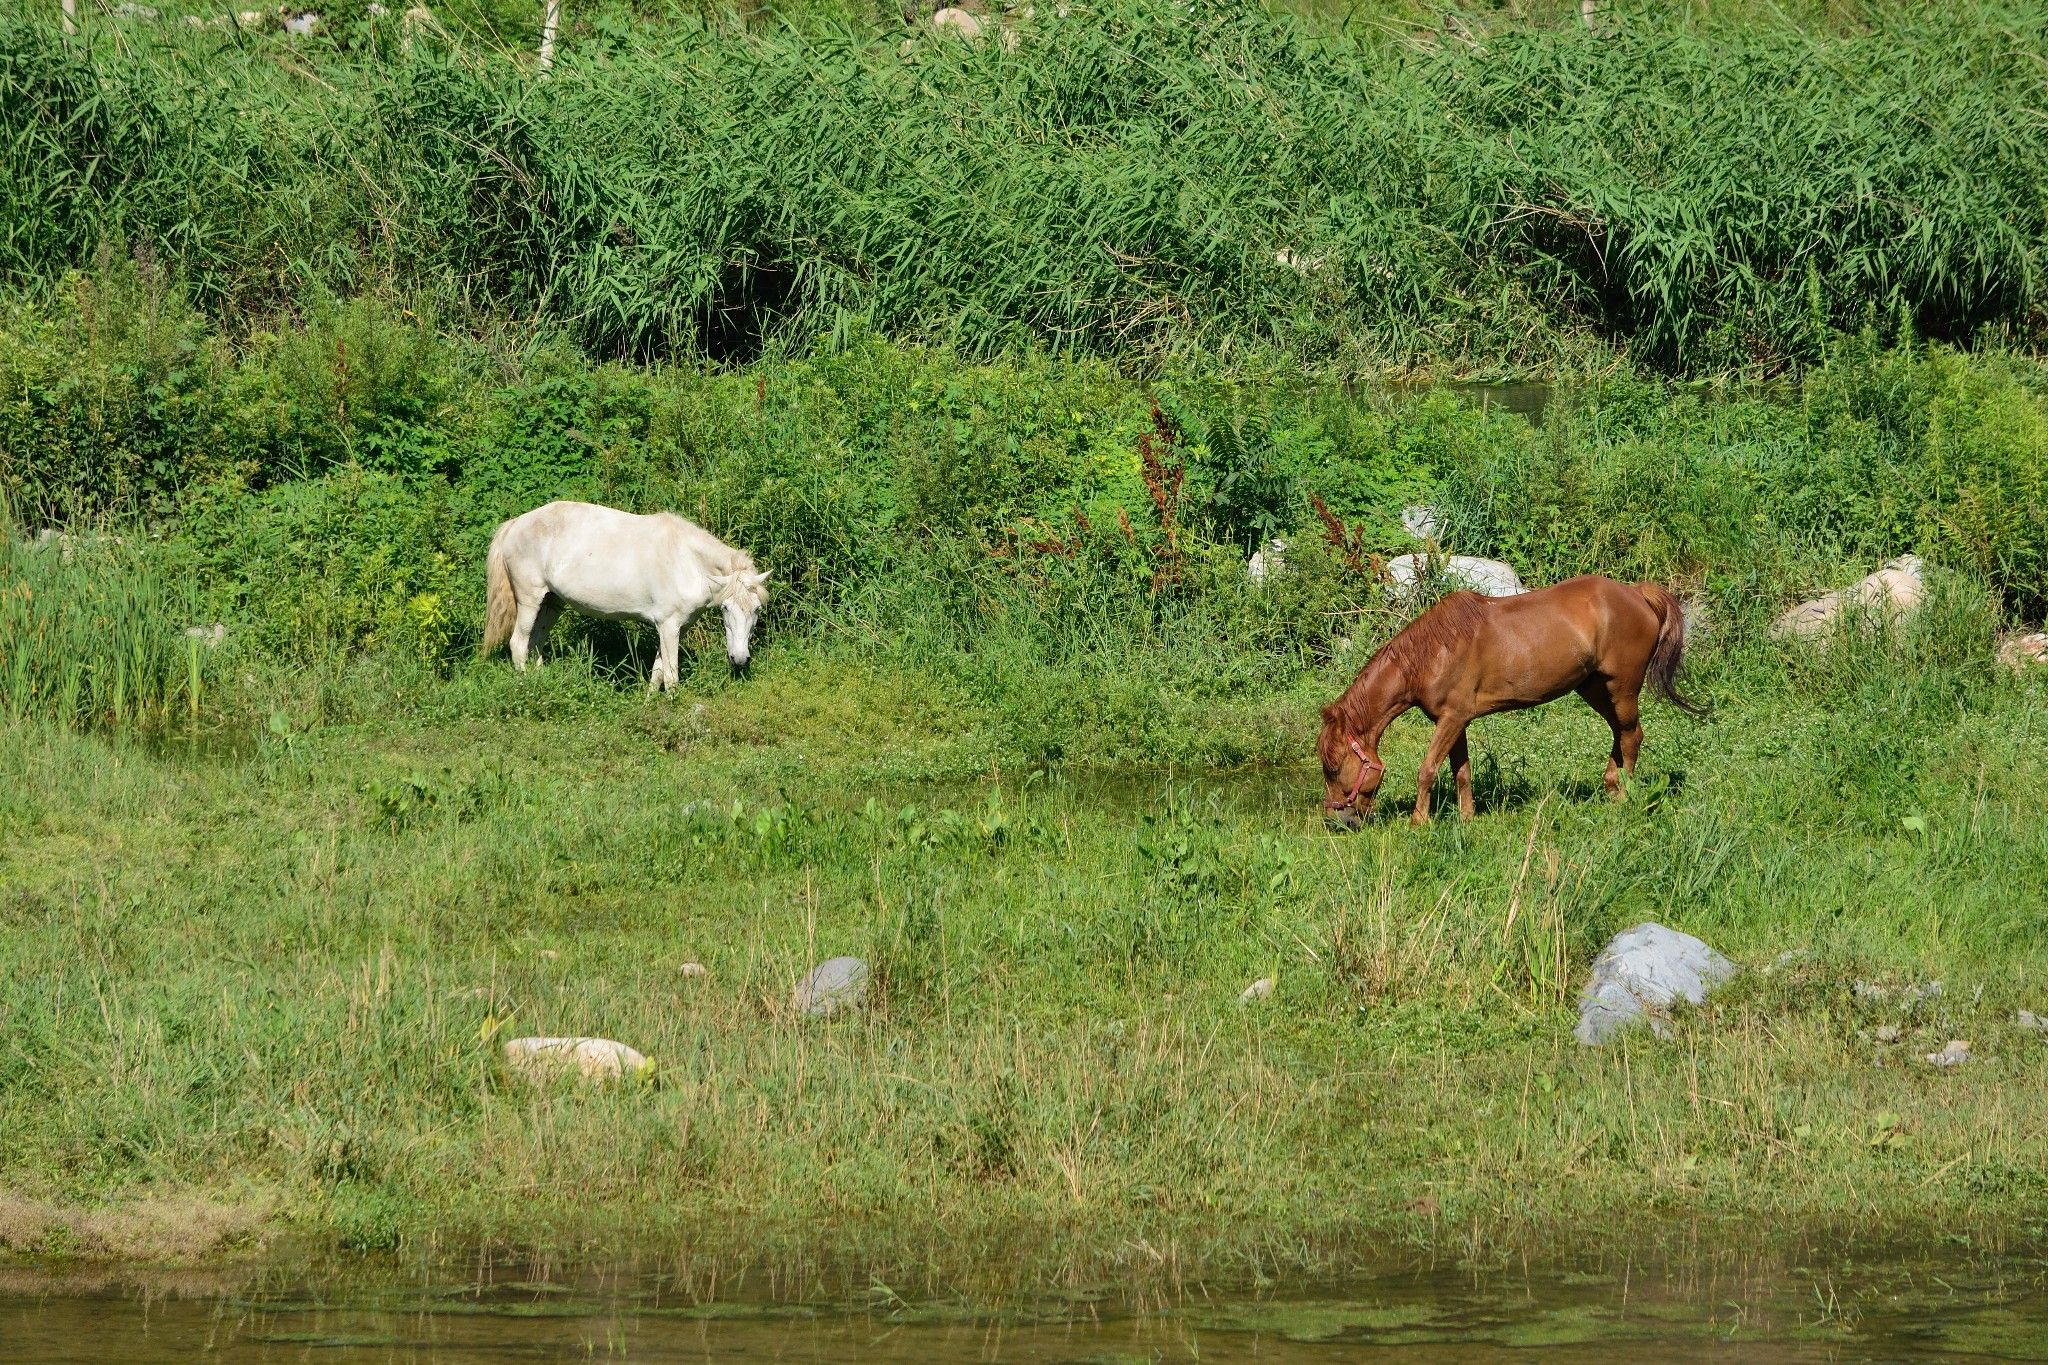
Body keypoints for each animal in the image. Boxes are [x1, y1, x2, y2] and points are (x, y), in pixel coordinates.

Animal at [479, 501, 770, 695]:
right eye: (726, 608)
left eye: (756, 609)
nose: (740, 659)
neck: (686, 561)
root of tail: (514, 524)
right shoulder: (668, 626)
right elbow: (671, 674)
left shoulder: (674, 628)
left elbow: (658, 671)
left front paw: (651, 703)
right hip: (530, 600)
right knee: (519, 644)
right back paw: (527, 686)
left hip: (551, 604)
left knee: (535, 643)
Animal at [1318, 573, 1703, 826]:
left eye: (1334, 768)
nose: (1339, 822)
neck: (1433, 653)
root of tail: (1637, 593)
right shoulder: (1456, 721)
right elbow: (1462, 772)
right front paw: (1467, 818)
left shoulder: (1451, 719)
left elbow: (1426, 770)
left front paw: (1419, 823)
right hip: (1596, 689)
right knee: (1620, 735)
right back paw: (1610, 787)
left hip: (1622, 688)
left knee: (1632, 736)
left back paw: (1624, 796)